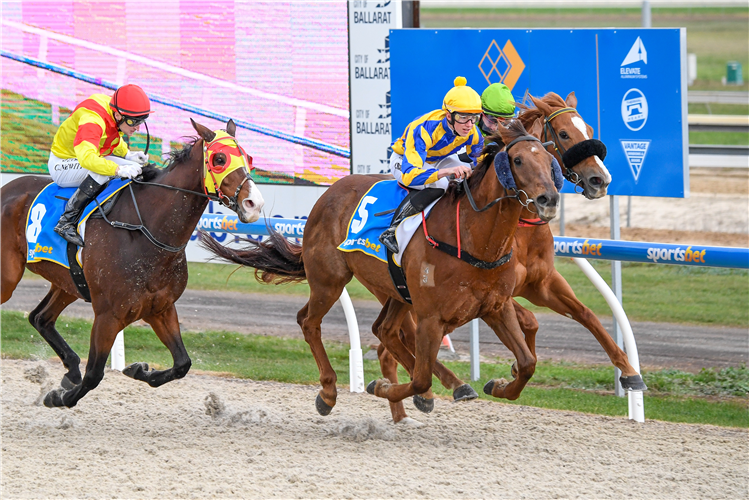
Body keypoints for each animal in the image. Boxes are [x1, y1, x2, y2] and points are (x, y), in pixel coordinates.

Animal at [0, 119, 264, 408]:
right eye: (219, 159)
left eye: (248, 158)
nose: (254, 204)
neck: (145, 228)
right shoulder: (108, 315)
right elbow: (94, 374)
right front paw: (59, 397)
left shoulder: (160, 308)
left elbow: (182, 363)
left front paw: (139, 370)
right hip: (8, 278)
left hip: (69, 282)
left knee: (40, 318)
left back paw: (70, 369)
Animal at [202, 118, 560, 414]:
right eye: (517, 160)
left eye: (548, 159)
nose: (550, 199)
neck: (474, 238)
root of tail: (329, 192)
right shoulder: (431, 317)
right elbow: (420, 378)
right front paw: (383, 387)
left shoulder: (496, 306)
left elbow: (527, 363)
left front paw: (499, 385)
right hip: (330, 280)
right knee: (309, 322)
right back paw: (329, 392)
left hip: (396, 288)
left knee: (384, 330)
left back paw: (451, 386)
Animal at [376, 92, 644, 424]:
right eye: (564, 134)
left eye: (589, 129)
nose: (600, 180)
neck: (520, 228)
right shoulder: (501, 291)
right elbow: (530, 320)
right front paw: (513, 369)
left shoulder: (541, 283)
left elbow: (585, 315)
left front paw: (629, 372)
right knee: (398, 340)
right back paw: (424, 394)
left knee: (388, 340)